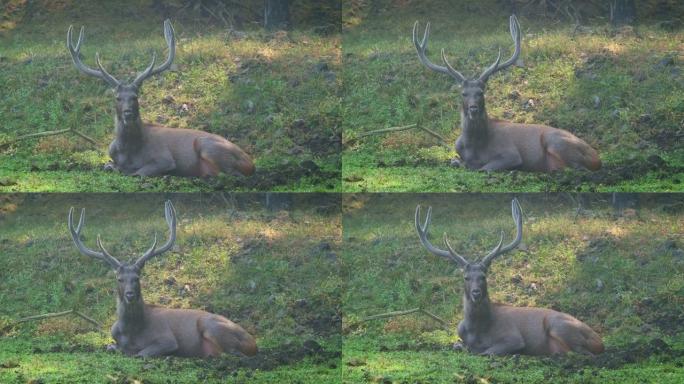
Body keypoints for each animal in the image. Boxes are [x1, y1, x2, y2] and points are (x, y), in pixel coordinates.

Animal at [67, 20, 255, 178]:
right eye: (117, 97)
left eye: (135, 97)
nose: (128, 113)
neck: (128, 151)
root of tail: (251, 162)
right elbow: (108, 166)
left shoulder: (165, 159)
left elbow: (137, 172)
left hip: (208, 146)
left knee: (233, 174)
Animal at [67, 201, 256, 356]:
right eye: (119, 279)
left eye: (137, 277)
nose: (130, 294)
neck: (131, 332)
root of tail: (254, 342)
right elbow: (111, 347)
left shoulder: (167, 339)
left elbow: (140, 353)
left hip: (212, 327)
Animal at [412, 14, 600, 171]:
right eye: (463, 93)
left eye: (481, 92)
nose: (473, 108)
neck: (475, 147)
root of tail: (598, 157)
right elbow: (456, 162)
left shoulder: (511, 154)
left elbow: (483, 168)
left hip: (556, 141)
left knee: (579, 168)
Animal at [414, 200, 600, 356]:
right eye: (466, 277)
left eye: (483, 276)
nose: (476, 293)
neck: (477, 331)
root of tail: (600, 339)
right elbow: (459, 345)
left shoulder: (514, 338)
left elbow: (485, 352)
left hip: (560, 326)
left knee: (584, 353)